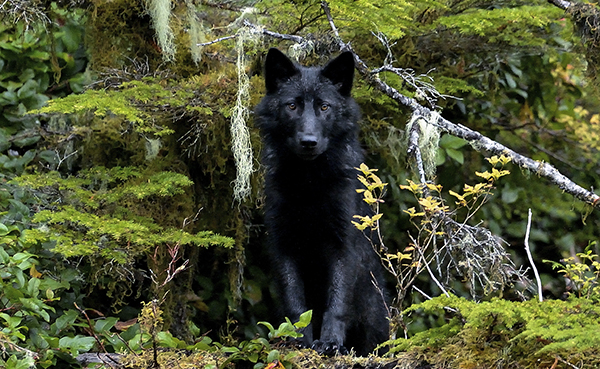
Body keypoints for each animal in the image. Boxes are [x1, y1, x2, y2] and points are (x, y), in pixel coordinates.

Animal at [254, 47, 390, 356]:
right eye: (292, 106)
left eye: (324, 107)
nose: (309, 141)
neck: (309, 187)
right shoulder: (283, 245)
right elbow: (296, 305)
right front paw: (298, 341)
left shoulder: (343, 245)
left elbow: (336, 303)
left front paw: (330, 342)